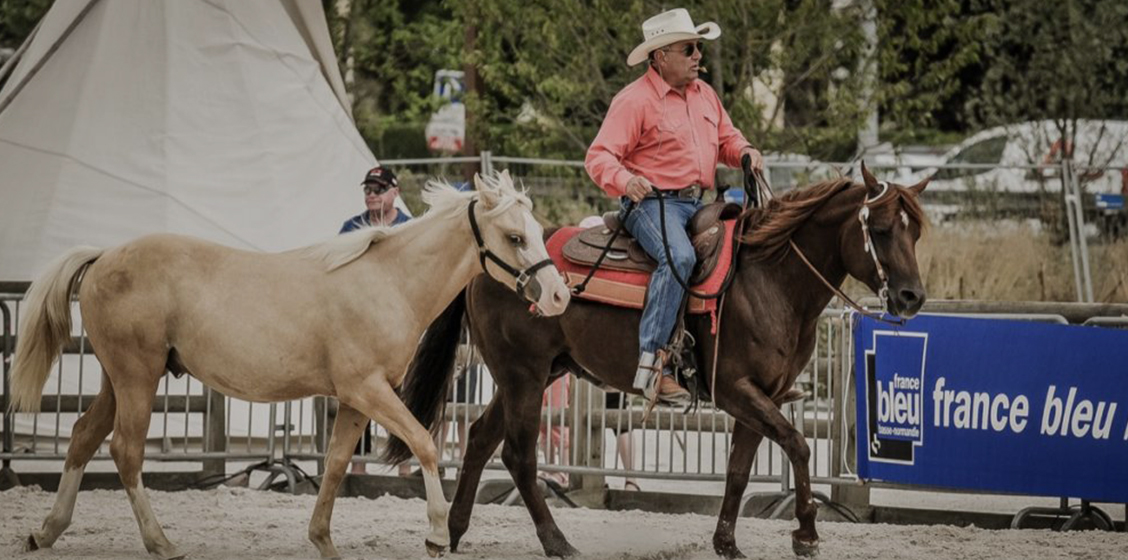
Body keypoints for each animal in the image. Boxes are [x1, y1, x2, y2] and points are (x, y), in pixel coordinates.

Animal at [6, 171, 573, 560]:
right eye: (515, 237)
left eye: (536, 229)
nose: (560, 296)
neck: (388, 282)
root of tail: (103, 256)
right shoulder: (369, 391)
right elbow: (426, 445)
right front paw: (435, 534)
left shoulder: (355, 401)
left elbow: (338, 465)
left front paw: (323, 540)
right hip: (136, 378)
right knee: (125, 453)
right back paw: (160, 542)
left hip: (118, 380)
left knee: (83, 437)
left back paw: (47, 531)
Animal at [383, 161, 929, 555]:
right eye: (880, 229)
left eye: (916, 232)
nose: (911, 297)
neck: (770, 280)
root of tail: (480, 266)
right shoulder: (738, 391)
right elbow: (797, 444)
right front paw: (807, 534)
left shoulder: (763, 397)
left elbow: (739, 469)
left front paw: (726, 543)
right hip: (524, 375)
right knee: (518, 455)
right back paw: (557, 542)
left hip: (535, 374)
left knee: (478, 439)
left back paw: (452, 534)